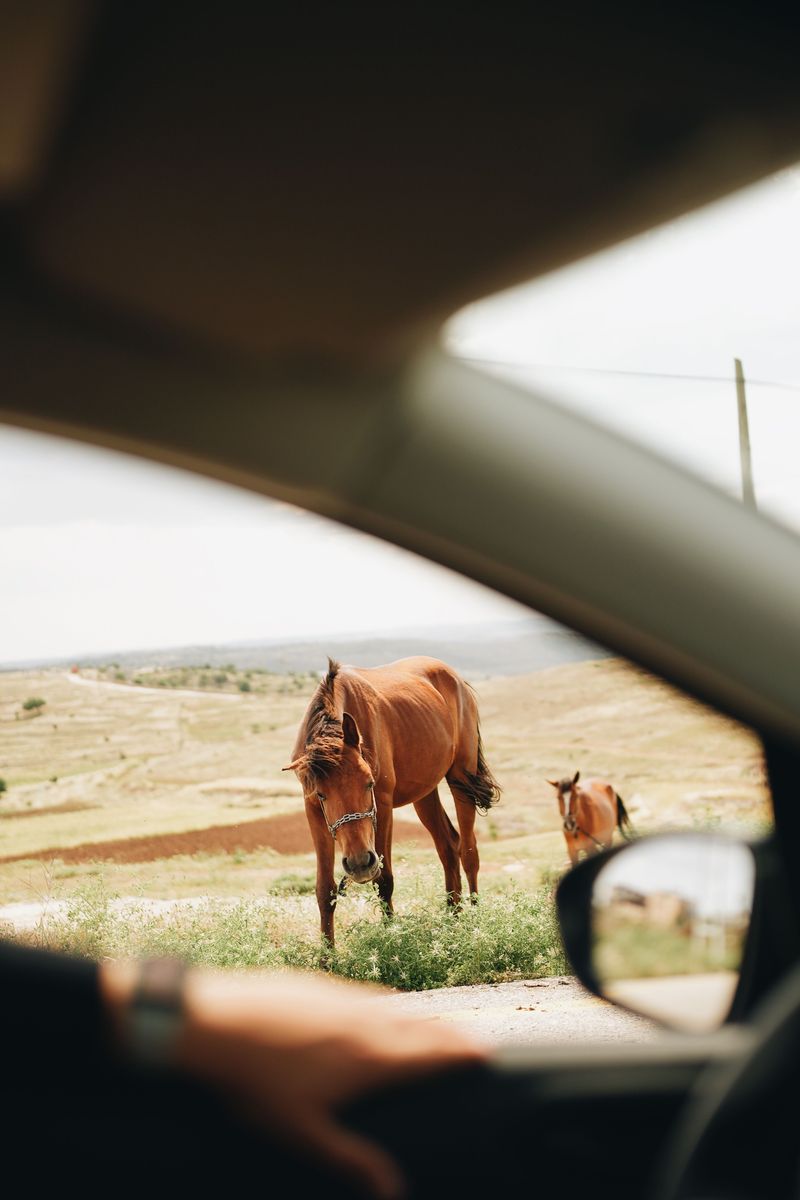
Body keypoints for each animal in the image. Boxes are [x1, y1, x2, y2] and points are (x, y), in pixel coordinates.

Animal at [284, 656, 501, 945]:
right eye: (321, 794)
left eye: (369, 784)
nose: (358, 864)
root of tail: (455, 678)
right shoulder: (313, 813)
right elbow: (324, 890)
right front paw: (327, 954)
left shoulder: (383, 806)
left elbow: (384, 881)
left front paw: (390, 939)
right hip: (425, 794)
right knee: (448, 847)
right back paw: (452, 920)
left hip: (461, 780)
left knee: (468, 851)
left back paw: (476, 923)